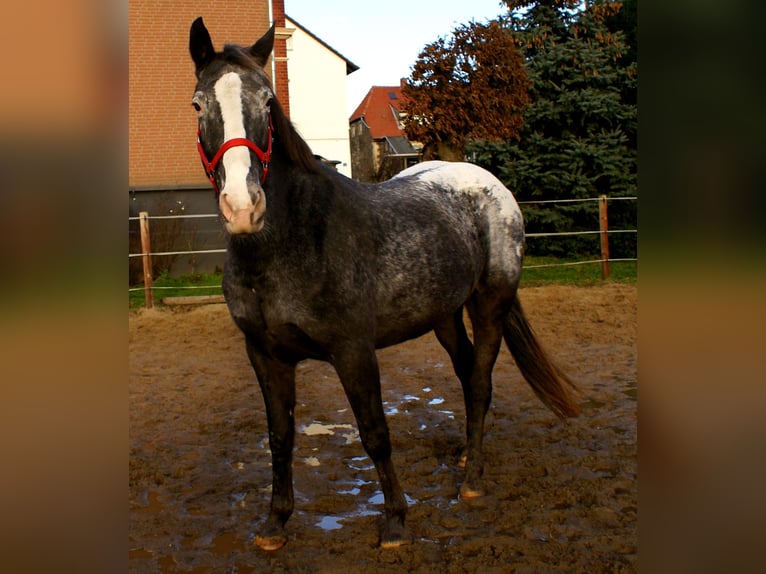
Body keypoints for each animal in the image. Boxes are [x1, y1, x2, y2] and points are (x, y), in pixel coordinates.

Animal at [189, 18, 580, 552]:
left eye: (268, 102)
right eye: (198, 104)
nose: (243, 207)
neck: (293, 241)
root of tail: (490, 185)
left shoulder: (353, 350)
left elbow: (374, 432)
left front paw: (395, 520)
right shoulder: (265, 354)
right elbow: (280, 436)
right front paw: (275, 523)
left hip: (491, 304)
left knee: (480, 381)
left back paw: (473, 479)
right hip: (444, 315)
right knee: (466, 375)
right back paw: (466, 453)